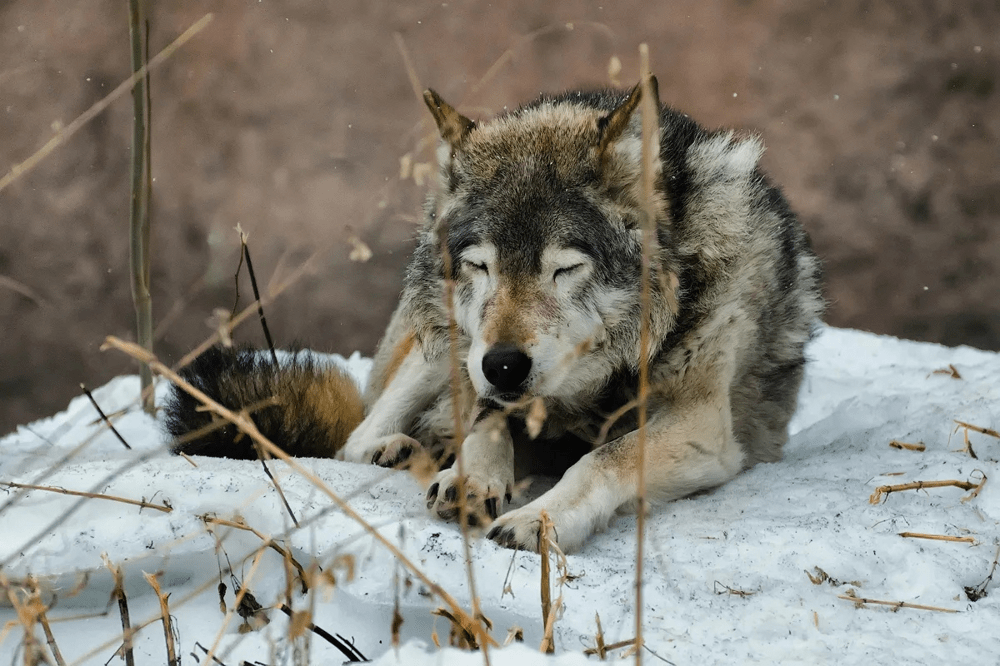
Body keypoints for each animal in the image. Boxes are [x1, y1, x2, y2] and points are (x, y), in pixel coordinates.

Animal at [166, 78, 820, 552]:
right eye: (480, 266)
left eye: (564, 269)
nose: (504, 365)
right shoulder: (479, 373)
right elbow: (485, 419)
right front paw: (469, 477)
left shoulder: (702, 424)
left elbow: (603, 457)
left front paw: (540, 519)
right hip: (439, 348)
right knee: (357, 435)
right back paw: (398, 450)